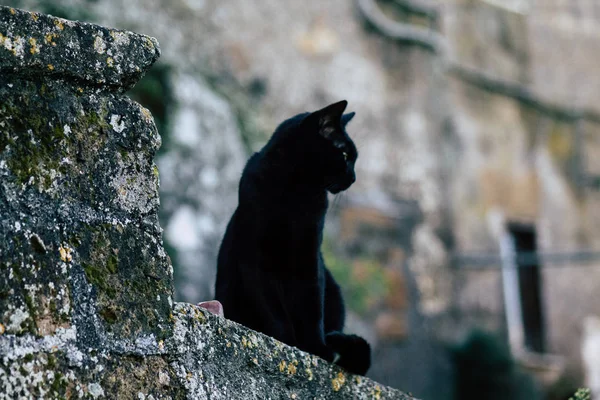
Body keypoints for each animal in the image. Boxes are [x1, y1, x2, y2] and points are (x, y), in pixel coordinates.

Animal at [216, 100, 370, 376]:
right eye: (344, 155)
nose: (353, 178)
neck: (295, 189)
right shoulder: (256, 258)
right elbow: (272, 309)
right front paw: (286, 343)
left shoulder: (308, 257)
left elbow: (311, 309)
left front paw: (316, 350)